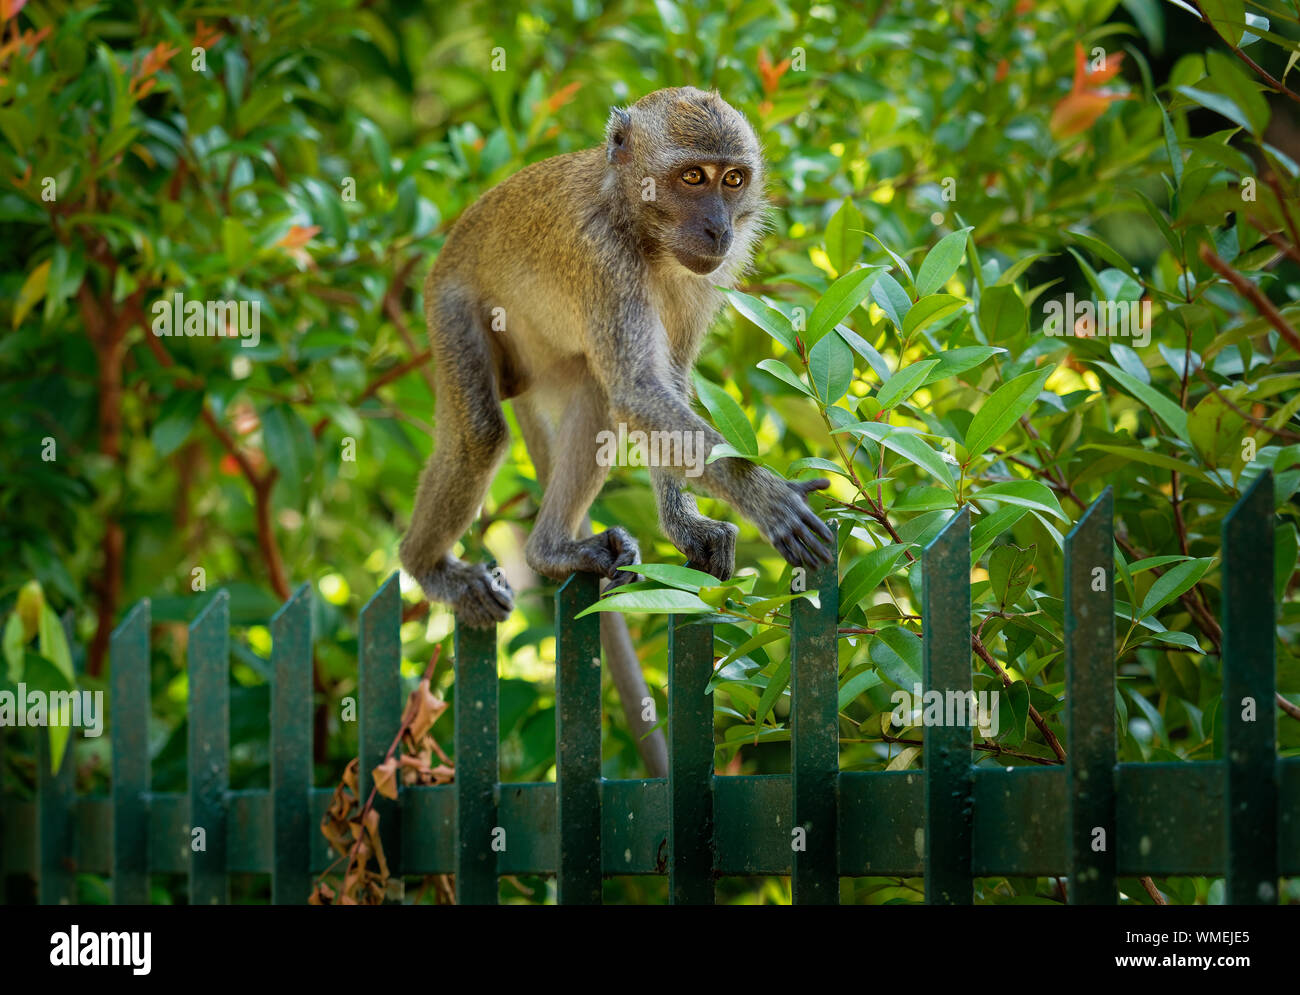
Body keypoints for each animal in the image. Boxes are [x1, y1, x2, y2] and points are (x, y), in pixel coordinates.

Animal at [399, 86, 835, 631]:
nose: (719, 229)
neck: (640, 227)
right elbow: (637, 392)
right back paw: (429, 567)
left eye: (733, 180)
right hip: (448, 303)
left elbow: (664, 385)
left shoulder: (704, 279)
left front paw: (687, 526)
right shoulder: (604, 258)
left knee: (593, 393)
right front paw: (767, 498)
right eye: (694, 177)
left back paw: (550, 550)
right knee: (481, 433)